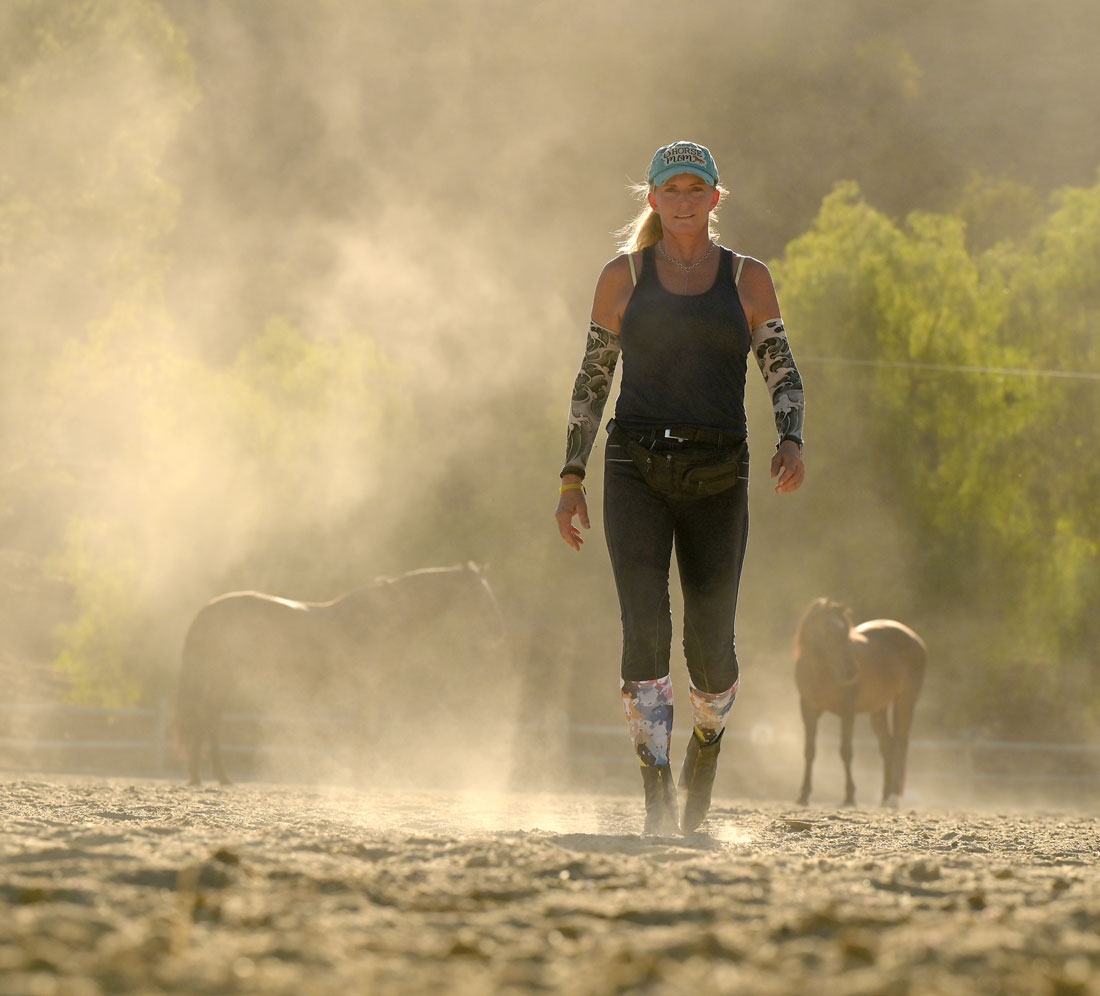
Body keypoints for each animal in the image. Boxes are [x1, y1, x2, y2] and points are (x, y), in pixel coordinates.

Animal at [796, 594, 924, 805]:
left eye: (847, 631)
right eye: (829, 629)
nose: (852, 672)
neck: (821, 673)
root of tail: (915, 639)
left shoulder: (847, 711)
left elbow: (846, 751)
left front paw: (849, 796)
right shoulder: (807, 710)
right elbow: (809, 751)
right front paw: (803, 795)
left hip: (905, 702)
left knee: (900, 744)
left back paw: (893, 797)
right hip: (878, 710)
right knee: (888, 747)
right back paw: (885, 797)